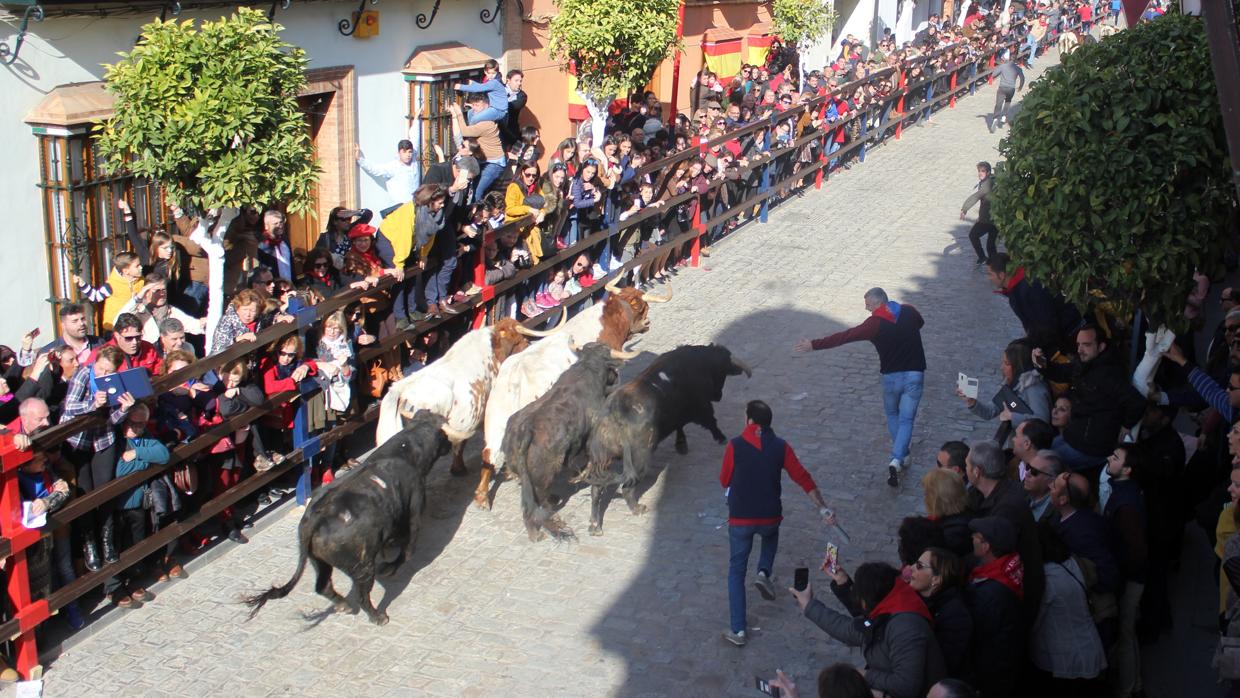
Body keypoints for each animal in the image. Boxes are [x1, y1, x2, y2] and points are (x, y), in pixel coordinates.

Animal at [241, 411, 451, 624]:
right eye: (443, 435)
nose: (451, 444)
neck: (405, 450)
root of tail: (316, 519)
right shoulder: (414, 514)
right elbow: (407, 551)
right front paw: (389, 567)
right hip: (363, 566)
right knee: (362, 594)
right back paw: (377, 616)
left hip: (319, 560)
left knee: (323, 585)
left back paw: (344, 605)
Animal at [582, 344, 748, 535]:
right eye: (722, 372)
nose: (718, 395)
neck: (699, 361)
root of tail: (612, 413)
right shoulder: (702, 407)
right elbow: (710, 422)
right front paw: (721, 438)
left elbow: (680, 427)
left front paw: (681, 445)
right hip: (639, 460)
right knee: (627, 488)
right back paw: (637, 509)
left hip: (602, 459)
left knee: (596, 489)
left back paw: (595, 525)